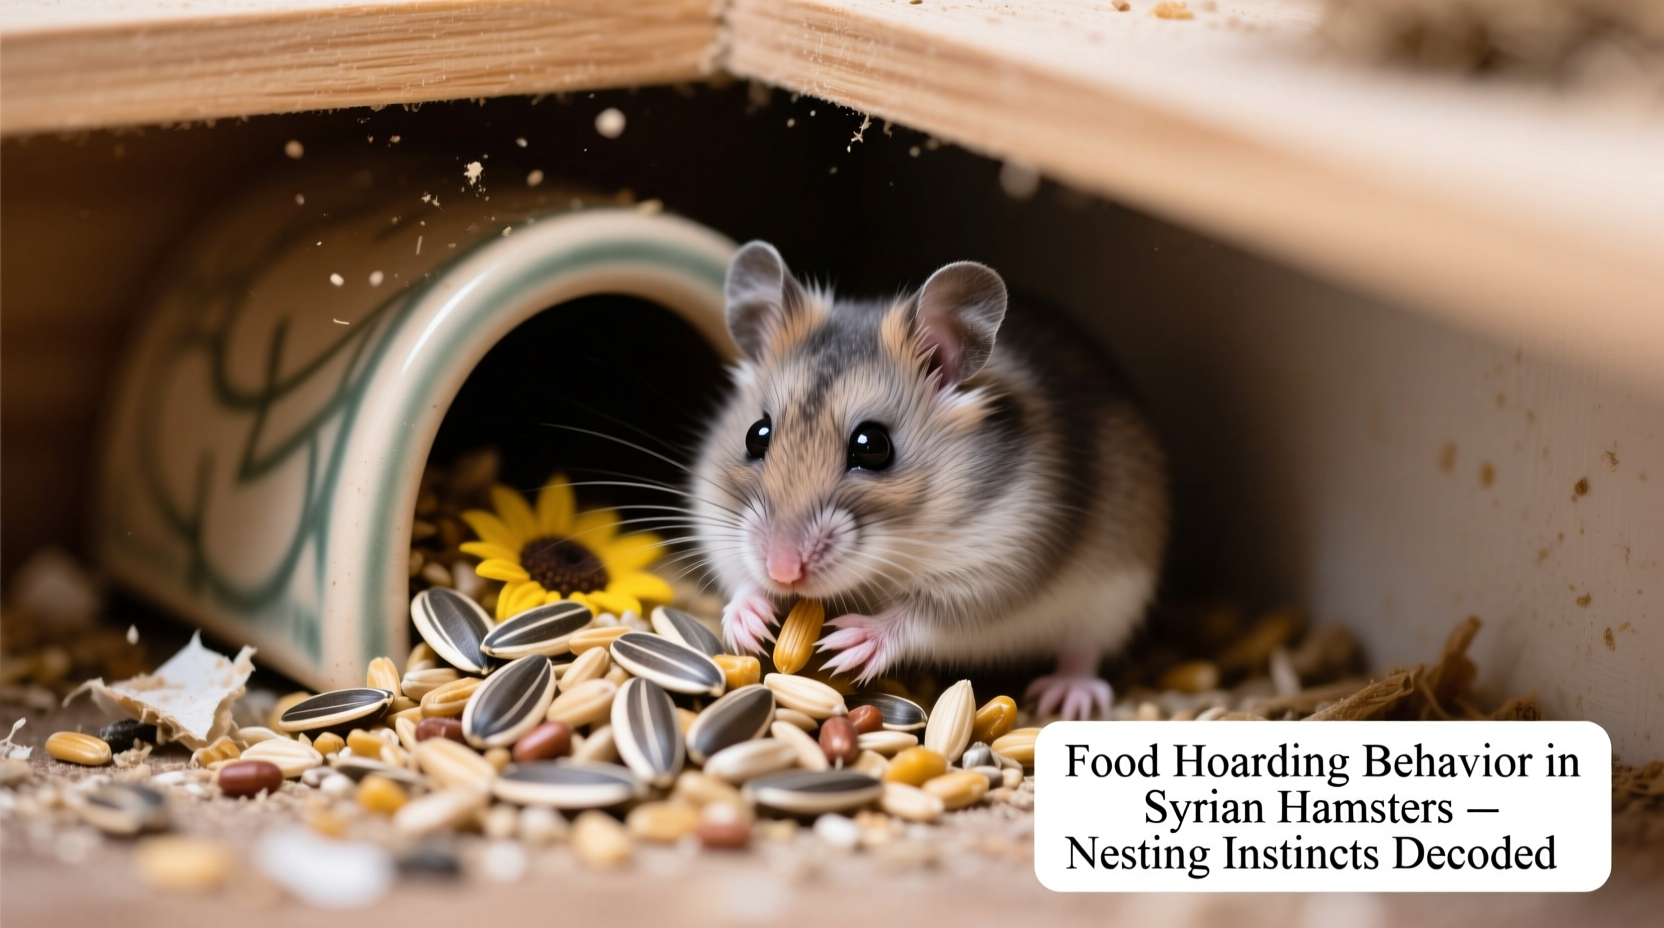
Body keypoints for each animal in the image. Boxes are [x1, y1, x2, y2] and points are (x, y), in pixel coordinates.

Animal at [688, 241, 1168, 720]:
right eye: (756, 434)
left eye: (872, 446)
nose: (783, 572)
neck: (891, 558)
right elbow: (740, 575)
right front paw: (748, 623)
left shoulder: (995, 568)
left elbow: (923, 617)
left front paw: (848, 644)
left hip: (1112, 599)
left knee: (1084, 650)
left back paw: (1065, 698)